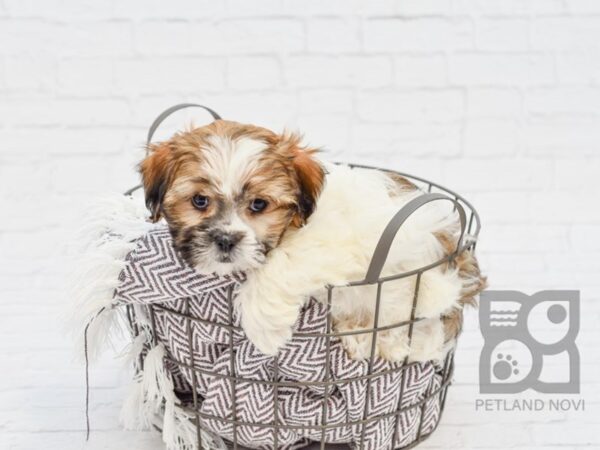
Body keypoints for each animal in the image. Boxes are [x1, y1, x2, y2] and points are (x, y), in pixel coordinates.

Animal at [138, 119, 486, 362]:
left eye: (259, 204)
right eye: (199, 201)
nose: (225, 240)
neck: (294, 225)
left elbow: (283, 260)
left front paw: (265, 329)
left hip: (420, 277)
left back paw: (384, 341)